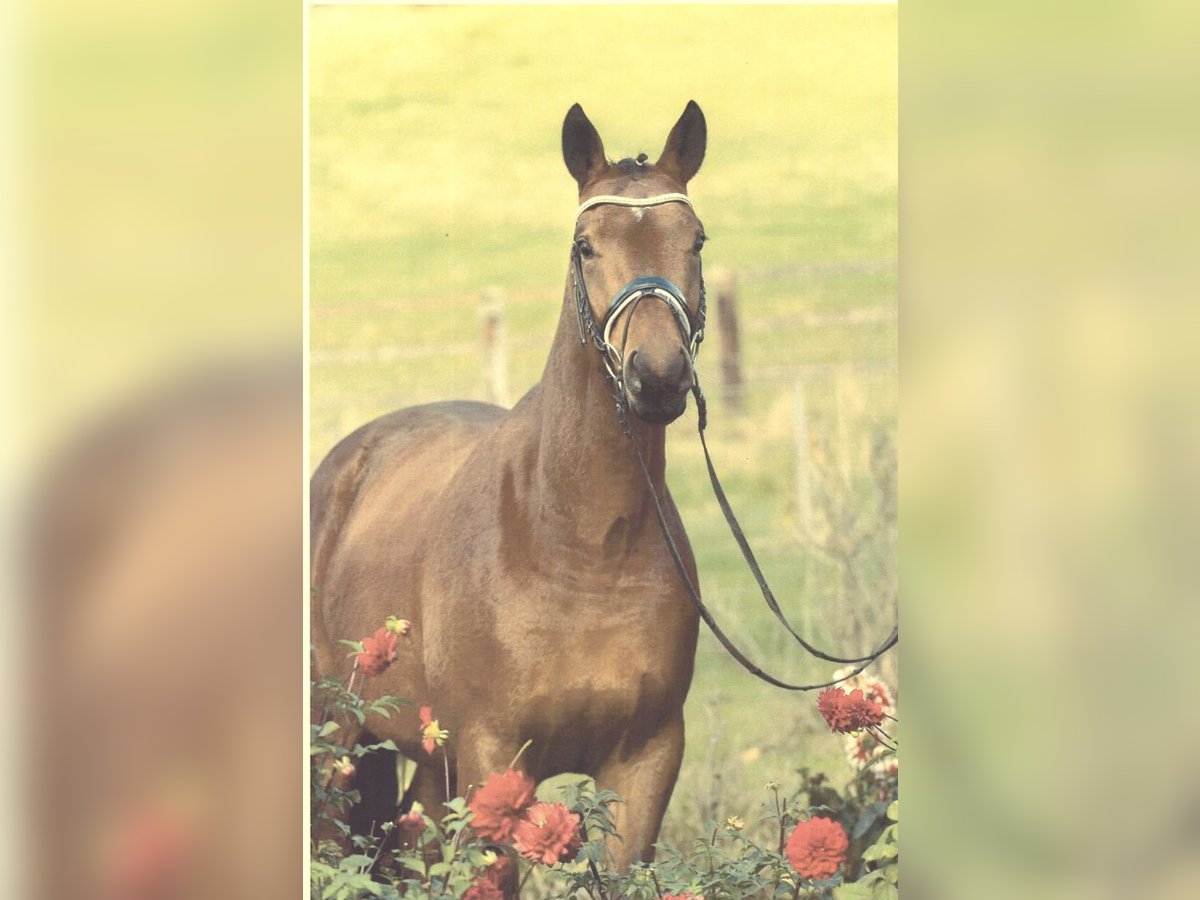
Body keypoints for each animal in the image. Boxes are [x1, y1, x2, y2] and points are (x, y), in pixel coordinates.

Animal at [309, 102, 710, 868]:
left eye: (696, 240)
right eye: (586, 246)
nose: (658, 375)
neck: (581, 546)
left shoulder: (647, 761)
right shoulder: (494, 757)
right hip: (337, 741)